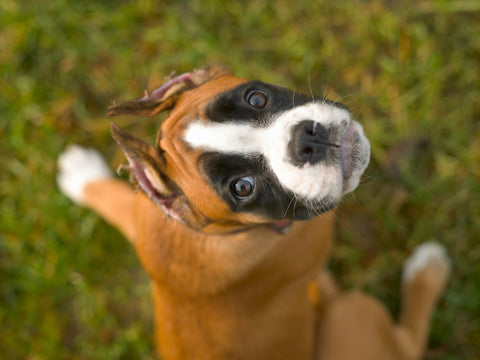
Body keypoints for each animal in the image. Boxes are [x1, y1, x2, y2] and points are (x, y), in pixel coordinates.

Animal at [58, 65, 452, 360]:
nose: (306, 140)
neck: (213, 236)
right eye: (242, 187)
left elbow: (119, 201)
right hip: (354, 313)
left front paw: (82, 174)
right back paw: (427, 270)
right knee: (407, 343)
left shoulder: (146, 216)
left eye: (257, 97)